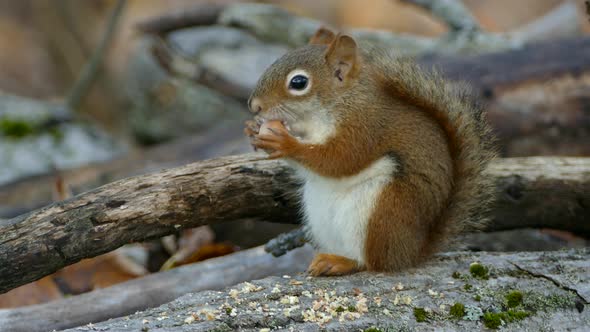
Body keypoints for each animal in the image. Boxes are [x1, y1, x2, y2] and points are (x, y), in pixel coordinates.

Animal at [243, 27, 498, 276]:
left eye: (298, 82)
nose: (254, 106)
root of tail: (412, 252)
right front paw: (253, 128)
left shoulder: (366, 127)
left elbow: (339, 159)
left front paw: (285, 143)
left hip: (382, 211)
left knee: (374, 262)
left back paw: (341, 263)